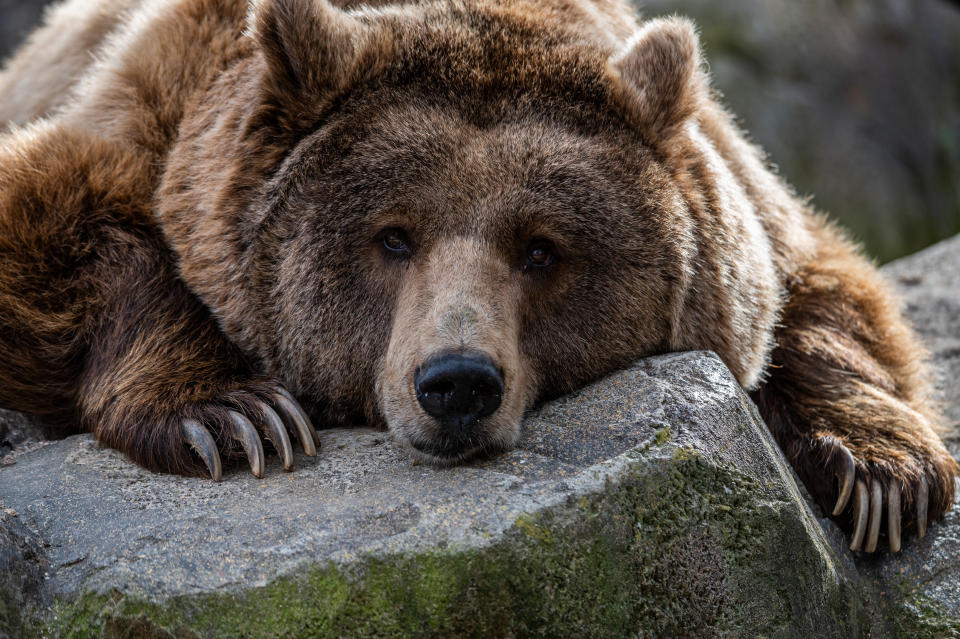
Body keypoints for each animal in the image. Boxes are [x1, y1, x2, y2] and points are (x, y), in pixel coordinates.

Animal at [0, 0, 952, 556]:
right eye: (392, 236)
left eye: (541, 248)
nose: (457, 381)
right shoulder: (163, 116)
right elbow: (64, 216)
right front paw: (233, 418)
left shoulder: (745, 200)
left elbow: (818, 290)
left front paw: (883, 474)